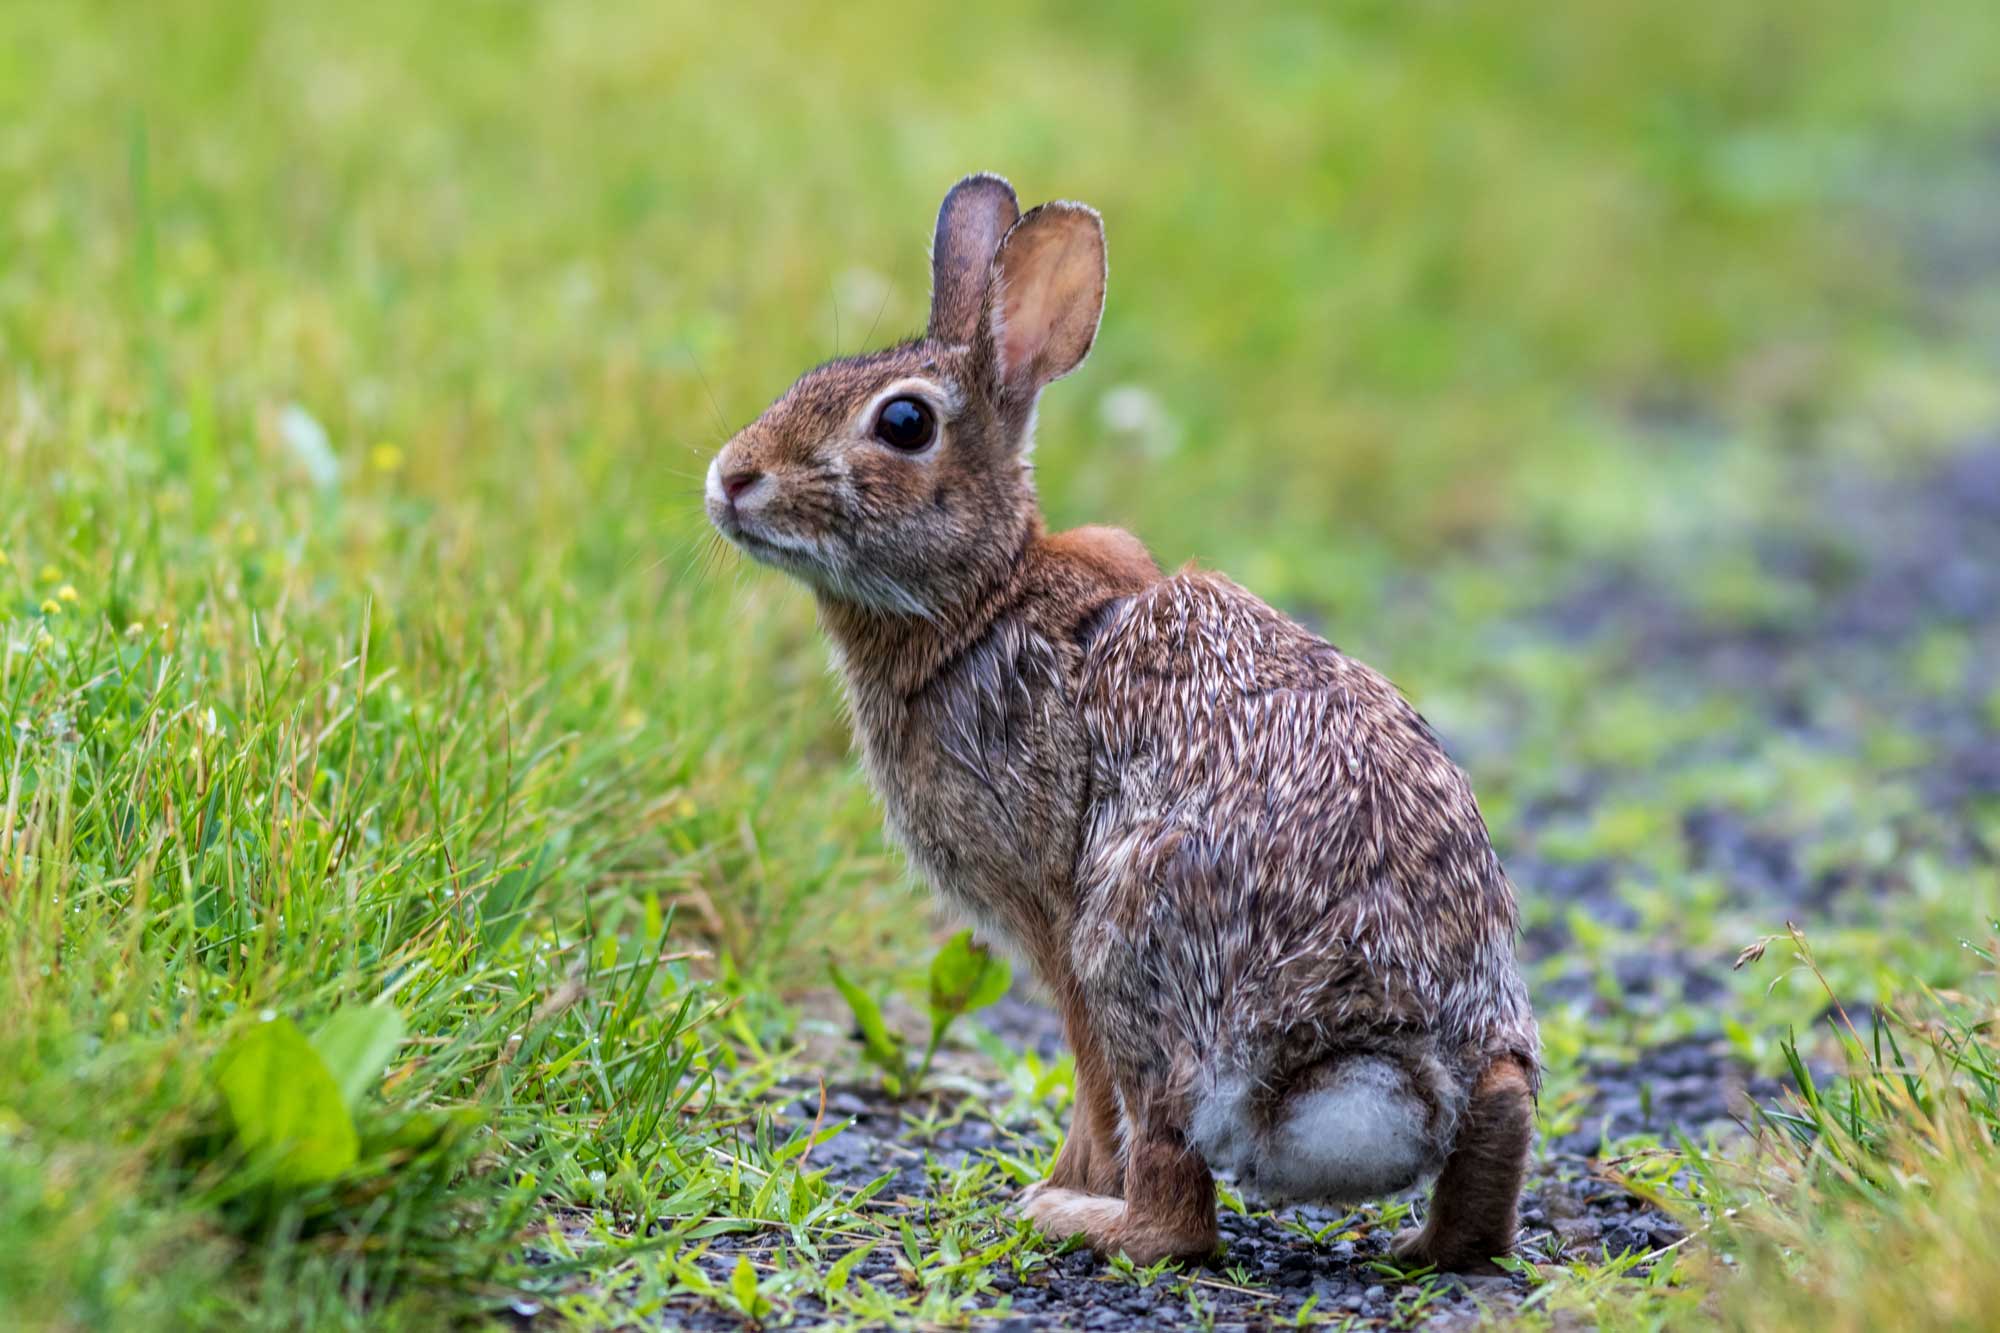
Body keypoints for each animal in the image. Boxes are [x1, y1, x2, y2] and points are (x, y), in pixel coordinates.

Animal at [705, 174, 1539, 1272]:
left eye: (903, 422)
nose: (729, 477)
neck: (980, 600)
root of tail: (1387, 1052)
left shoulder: (1054, 919)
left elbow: (1086, 1075)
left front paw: (1066, 1177)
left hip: (1137, 939)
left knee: (1175, 1206)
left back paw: (1074, 1217)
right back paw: (1426, 1245)